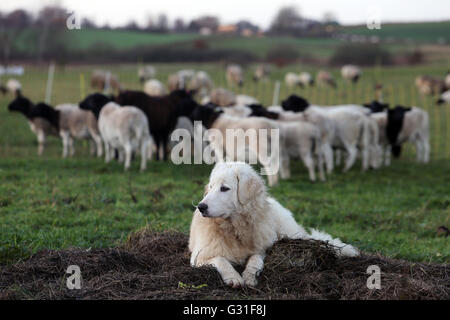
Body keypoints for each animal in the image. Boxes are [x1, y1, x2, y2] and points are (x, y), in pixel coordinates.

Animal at [189, 162, 358, 288]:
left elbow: (255, 261)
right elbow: (221, 260)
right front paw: (234, 278)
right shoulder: (199, 257)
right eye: (211, 187)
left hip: (288, 233)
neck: (236, 229)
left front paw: (249, 276)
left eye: (224, 188)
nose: (201, 207)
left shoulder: (261, 249)